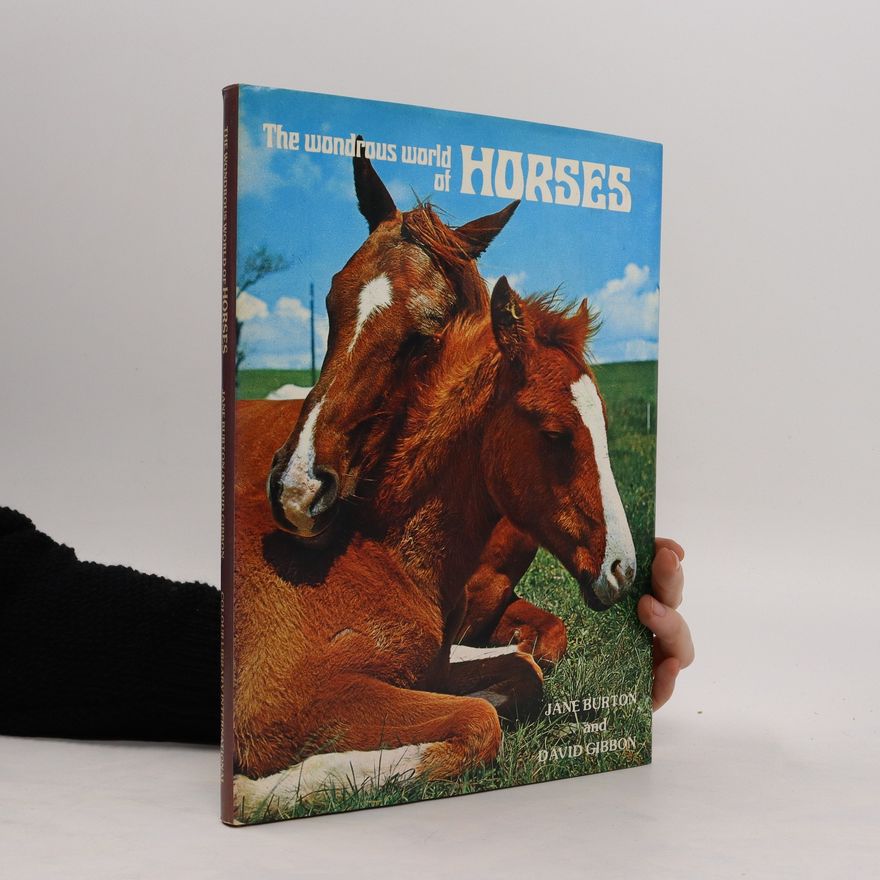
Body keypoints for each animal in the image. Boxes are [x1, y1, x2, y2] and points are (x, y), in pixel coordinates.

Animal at [232, 276, 636, 820]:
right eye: (555, 433)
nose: (622, 568)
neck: (383, 557)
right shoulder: (283, 703)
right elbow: (479, 721)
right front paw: (259, 791)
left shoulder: (435, 669)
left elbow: (524, 672)